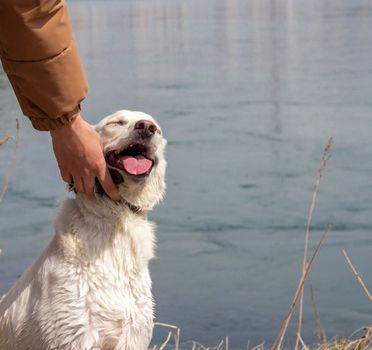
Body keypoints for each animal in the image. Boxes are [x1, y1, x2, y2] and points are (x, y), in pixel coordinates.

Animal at [0, 110, 167, 350]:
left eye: (157, 129)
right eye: (116, 122)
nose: (146, 127)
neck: (115, 221)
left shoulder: (133, 336)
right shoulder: (72, 335)